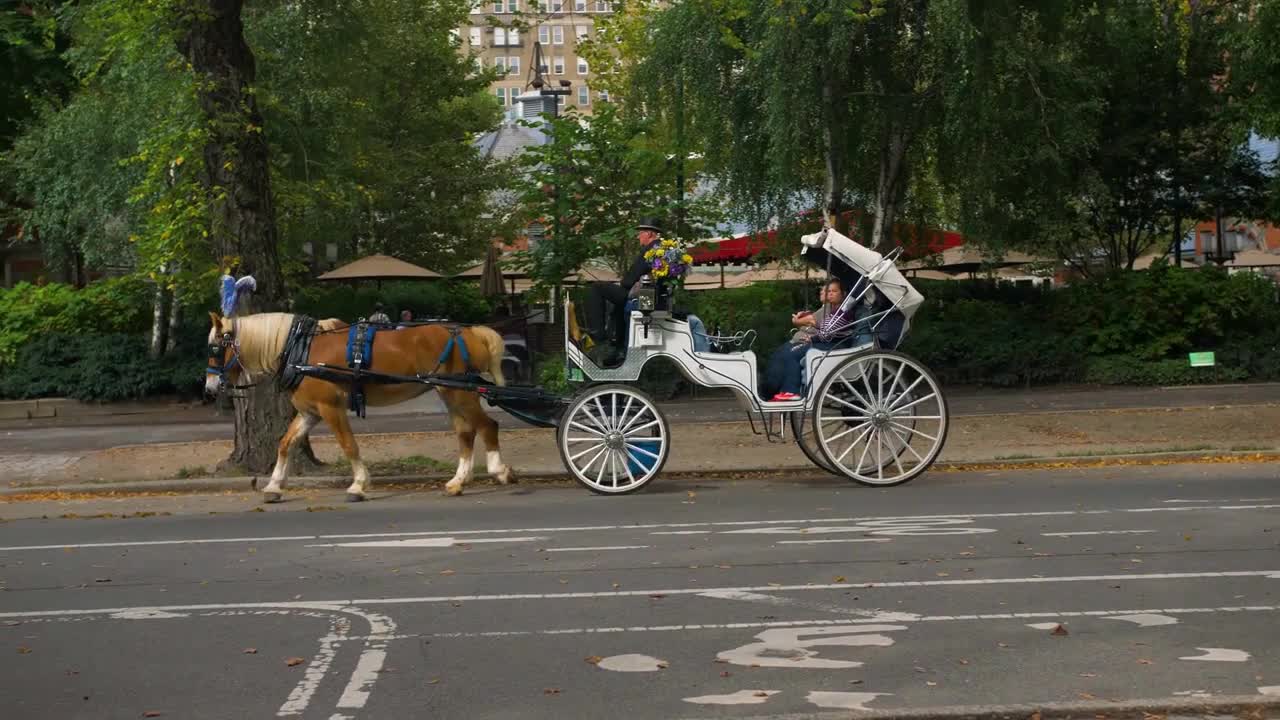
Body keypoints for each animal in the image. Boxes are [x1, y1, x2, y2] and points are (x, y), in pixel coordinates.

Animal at [204, 311, 514, 502]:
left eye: (216, 349)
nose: (209, 387)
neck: (300, 351)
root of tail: (469, 331)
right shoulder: (309, 412)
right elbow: (285, 443)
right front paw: (274, 486)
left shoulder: (330, 408)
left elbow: (349, 445)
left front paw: (358, 485)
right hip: (449, 392)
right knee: (466, 432)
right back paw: (458, 481)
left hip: (459, 392)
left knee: (487, 425)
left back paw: (499, 470)